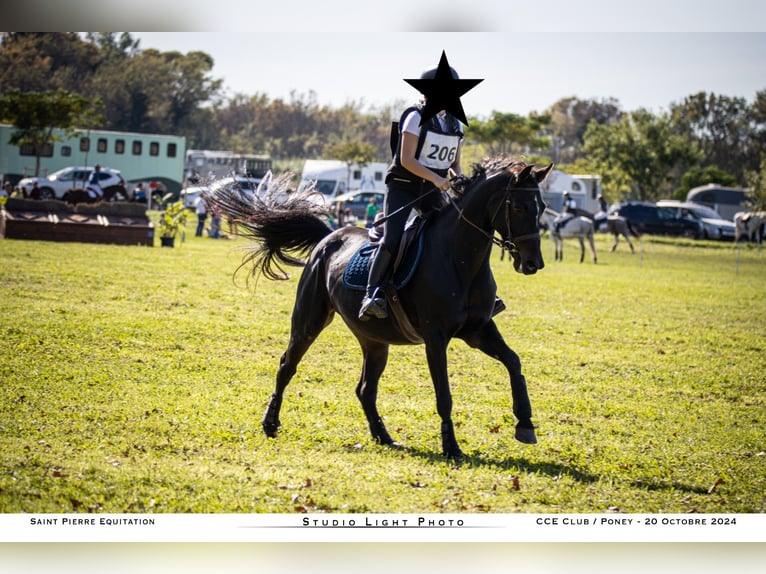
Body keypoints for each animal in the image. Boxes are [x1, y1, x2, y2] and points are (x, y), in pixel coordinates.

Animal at [212, 159, 551, 459]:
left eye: (542, 208)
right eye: (518, 207)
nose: (533, 264)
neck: (459, 259)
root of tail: (329, 236)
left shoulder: (478, 330)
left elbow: (514, 362)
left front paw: (525, 424)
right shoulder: (436, 338)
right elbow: (444, 395)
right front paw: (451, 447)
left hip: (374, 341)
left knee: (365, 388)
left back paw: (383, 436)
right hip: (309, 321)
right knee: (287, 365)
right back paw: (270, 423)